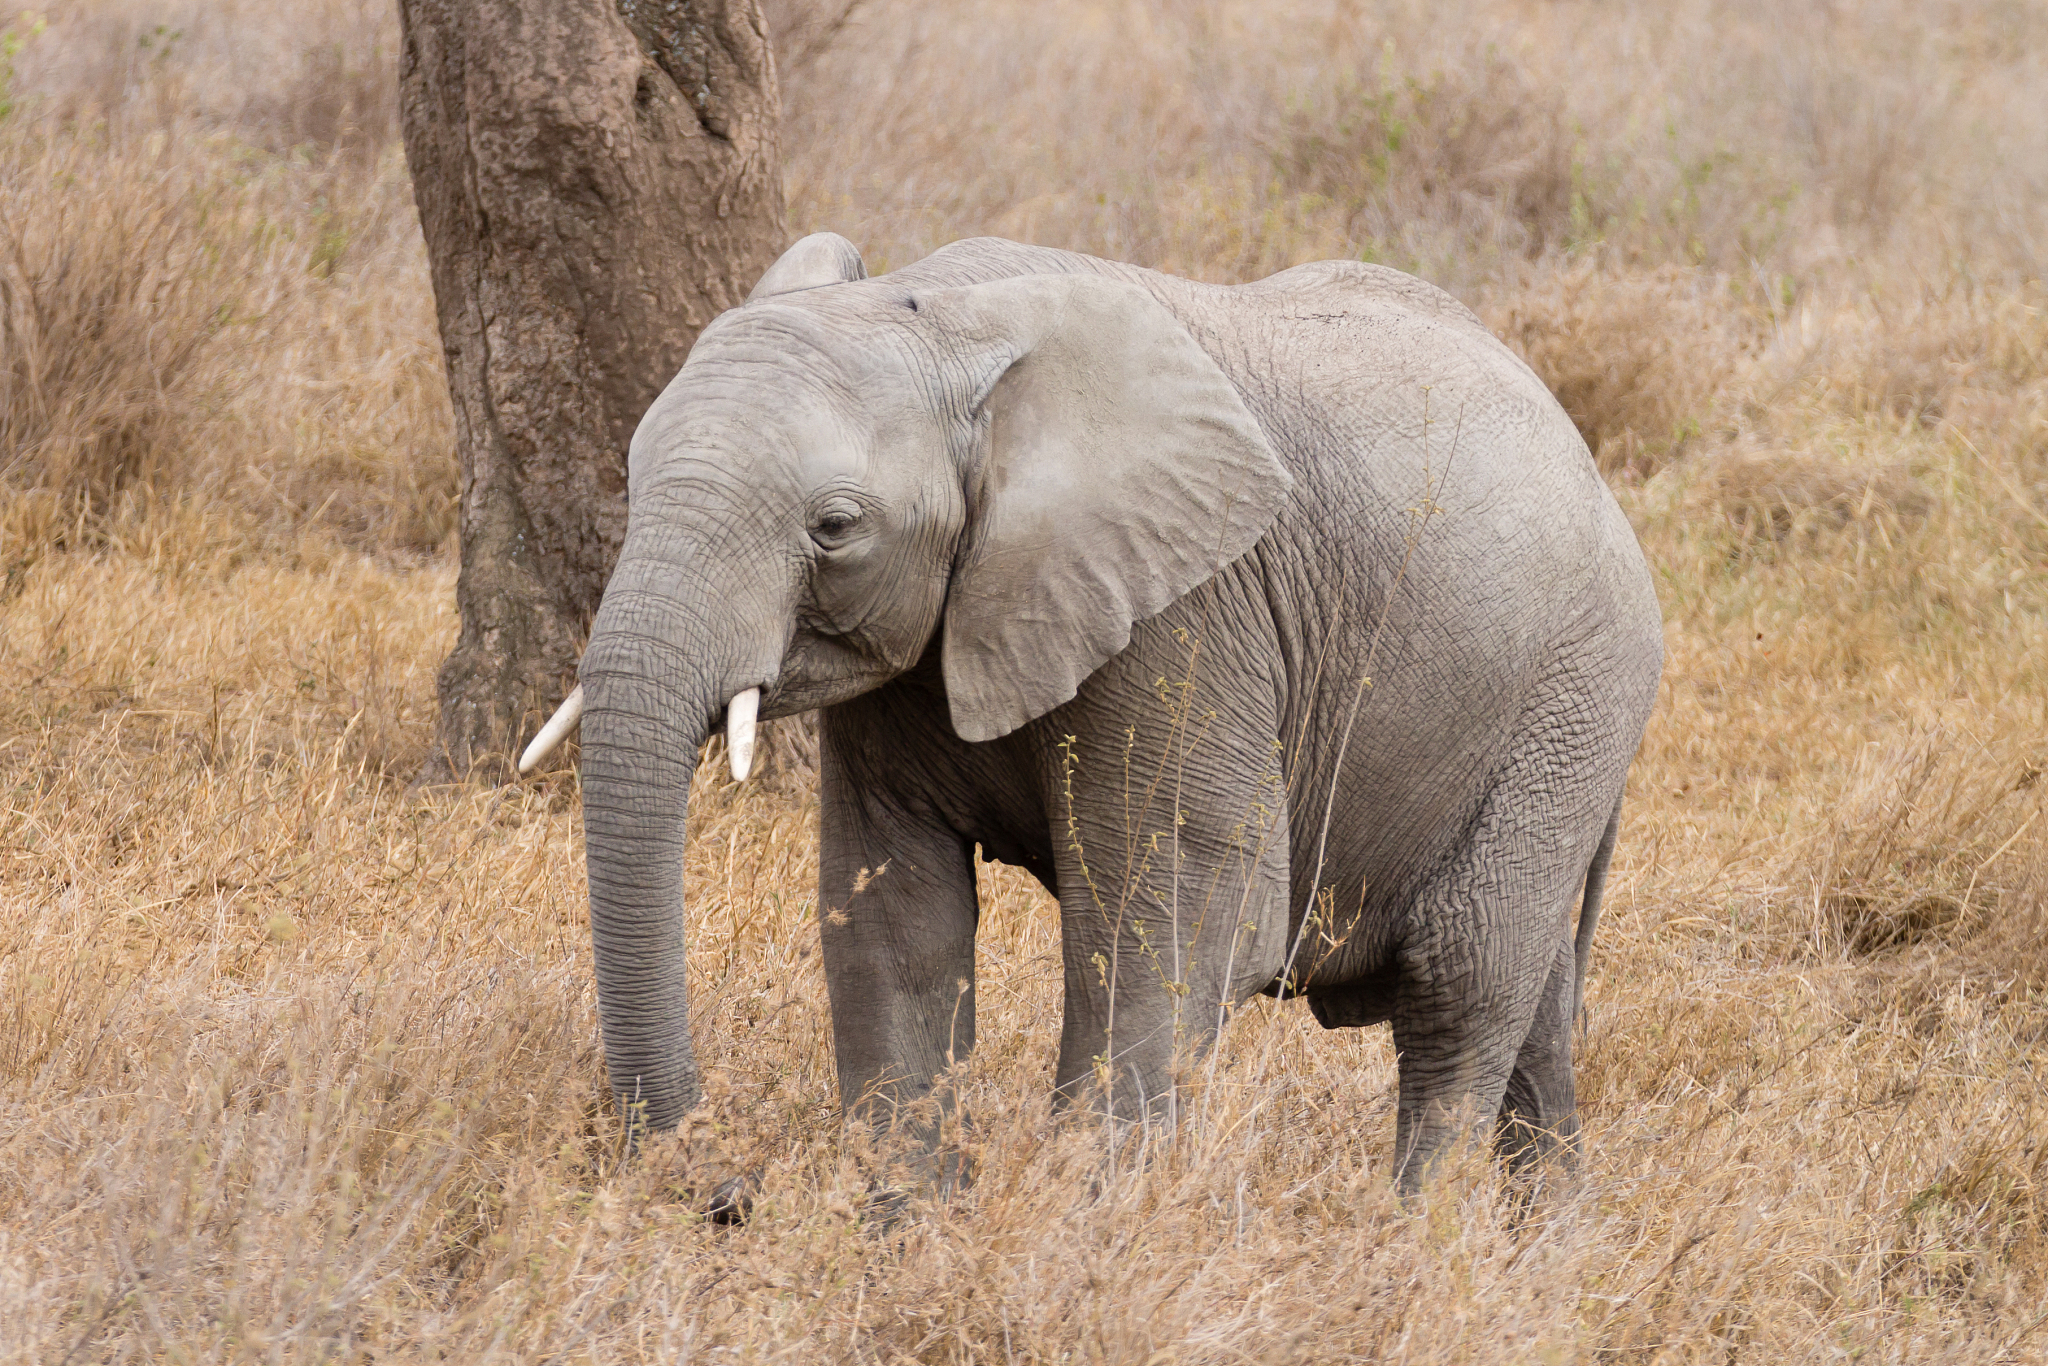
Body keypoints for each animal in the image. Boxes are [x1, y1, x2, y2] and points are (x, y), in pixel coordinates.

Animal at [520, 232, 1664, 1191]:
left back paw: (1417, 1252)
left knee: (1461, 984)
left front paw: (1082, 1233)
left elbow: (1182, 923)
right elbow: (895, 920)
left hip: (1574, 695)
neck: (946, 318)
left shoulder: (1187, 614)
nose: (728, 1196)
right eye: (631, 477)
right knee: (1533, 1014)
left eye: (834, 527)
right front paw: (907, 1239)